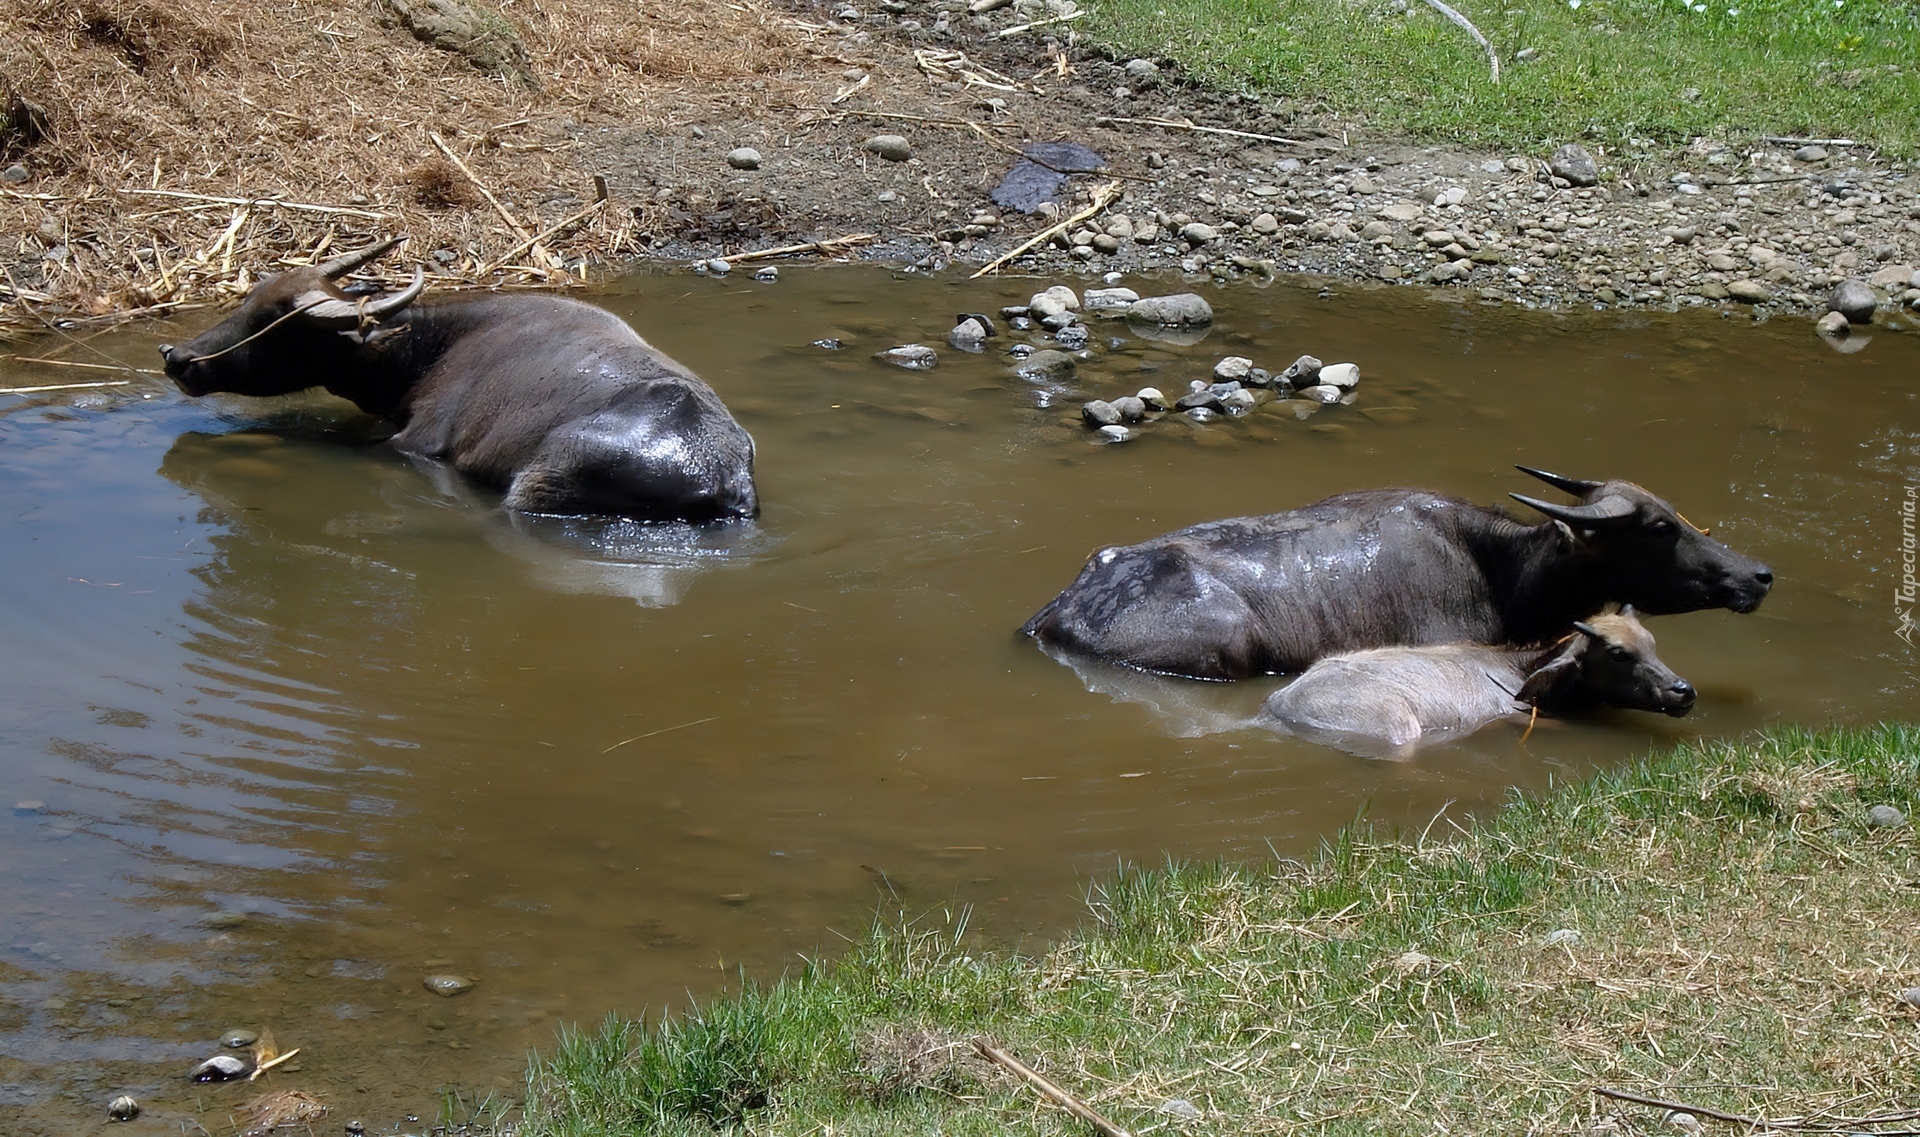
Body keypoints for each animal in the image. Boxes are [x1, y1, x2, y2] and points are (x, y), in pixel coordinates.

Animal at [161, 241, 756, 526]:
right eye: (251, 294)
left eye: (275, 322)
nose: (177, 357)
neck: (429, 347)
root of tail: (722, 477)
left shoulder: (414, 443)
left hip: (532, 486)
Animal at [1259, 606, 1697, 760]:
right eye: (1619, 654)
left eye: (1652, 644)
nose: (1684, 691)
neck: (1515, 669)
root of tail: (1276, 704)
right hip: (1397, 728)